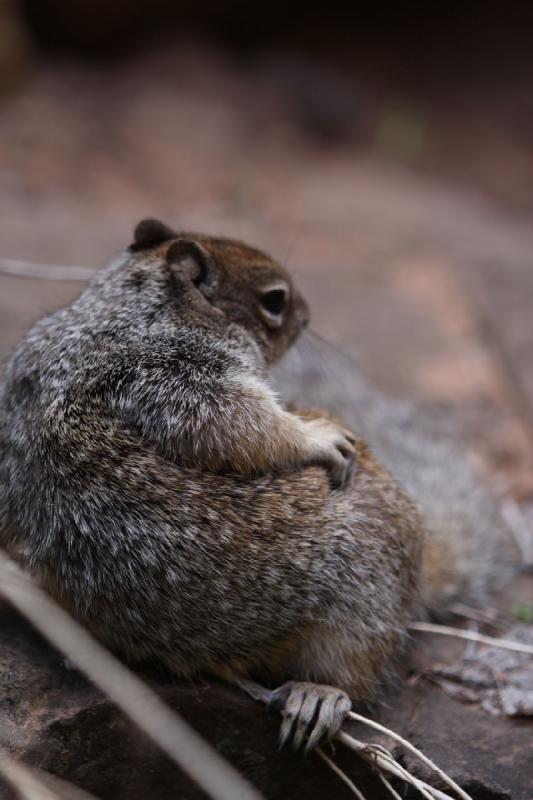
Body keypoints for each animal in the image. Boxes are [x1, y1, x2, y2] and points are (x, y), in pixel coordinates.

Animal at [0, 219, 516, 752]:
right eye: (275, 300)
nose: (308, 318)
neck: (124, 305)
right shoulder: (176, 368)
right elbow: (240, 421)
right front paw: (318, 437)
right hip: (363, 599)